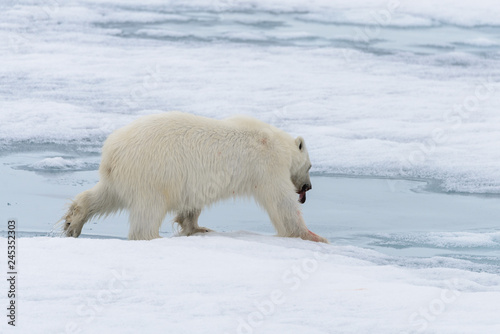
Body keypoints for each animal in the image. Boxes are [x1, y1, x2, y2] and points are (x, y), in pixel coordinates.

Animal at [62, 112, 328, 243]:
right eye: (310, 165)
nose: (308, 187)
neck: (275, 142)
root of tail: (113, 151)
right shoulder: (267, 166)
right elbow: (281, 203)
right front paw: (313, 236)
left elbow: (191, 206)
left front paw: (198, 228)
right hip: (153, 173)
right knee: (148, 211)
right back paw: (152, 237)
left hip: (120, 177)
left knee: (104, 195)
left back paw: (73, 222)